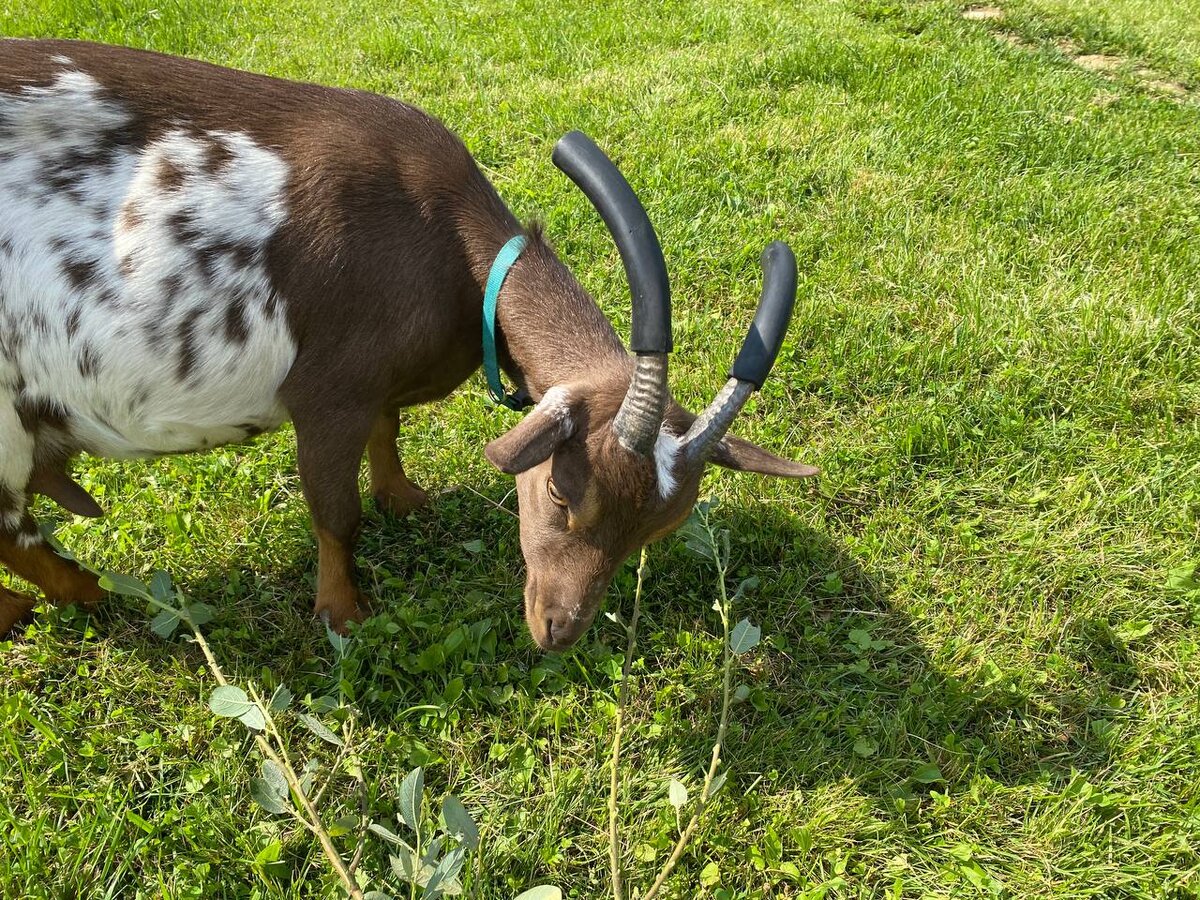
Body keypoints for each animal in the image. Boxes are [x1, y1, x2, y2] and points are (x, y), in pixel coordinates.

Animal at [0, 40, 816, 648]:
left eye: (658, 529)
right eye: (560, 491)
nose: (558, 630)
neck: (445, 244)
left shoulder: (377, 386)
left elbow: (388, 430)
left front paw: (404, 497)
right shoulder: (327, 394)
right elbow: (336, 514)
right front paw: (343, 614)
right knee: (18, 535)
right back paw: (86, 594)